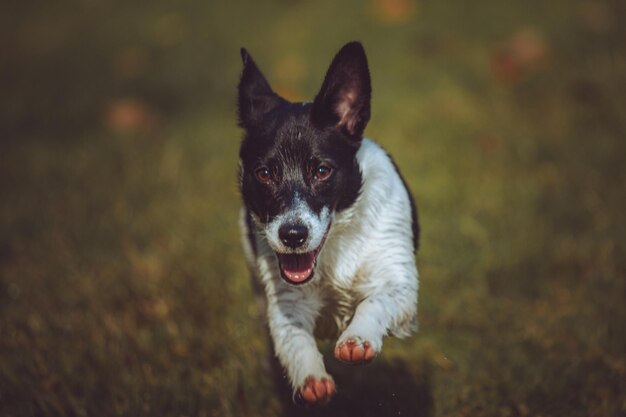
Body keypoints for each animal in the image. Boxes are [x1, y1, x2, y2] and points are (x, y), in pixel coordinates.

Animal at [236, 40, 416, 404]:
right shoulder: (286, 302)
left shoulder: (400, 283)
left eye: (321, 170)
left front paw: (357, 339)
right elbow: (293, 339)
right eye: (264, 173)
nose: (292, 234)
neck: (335, 246)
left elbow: (376, 301)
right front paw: (311, 378)